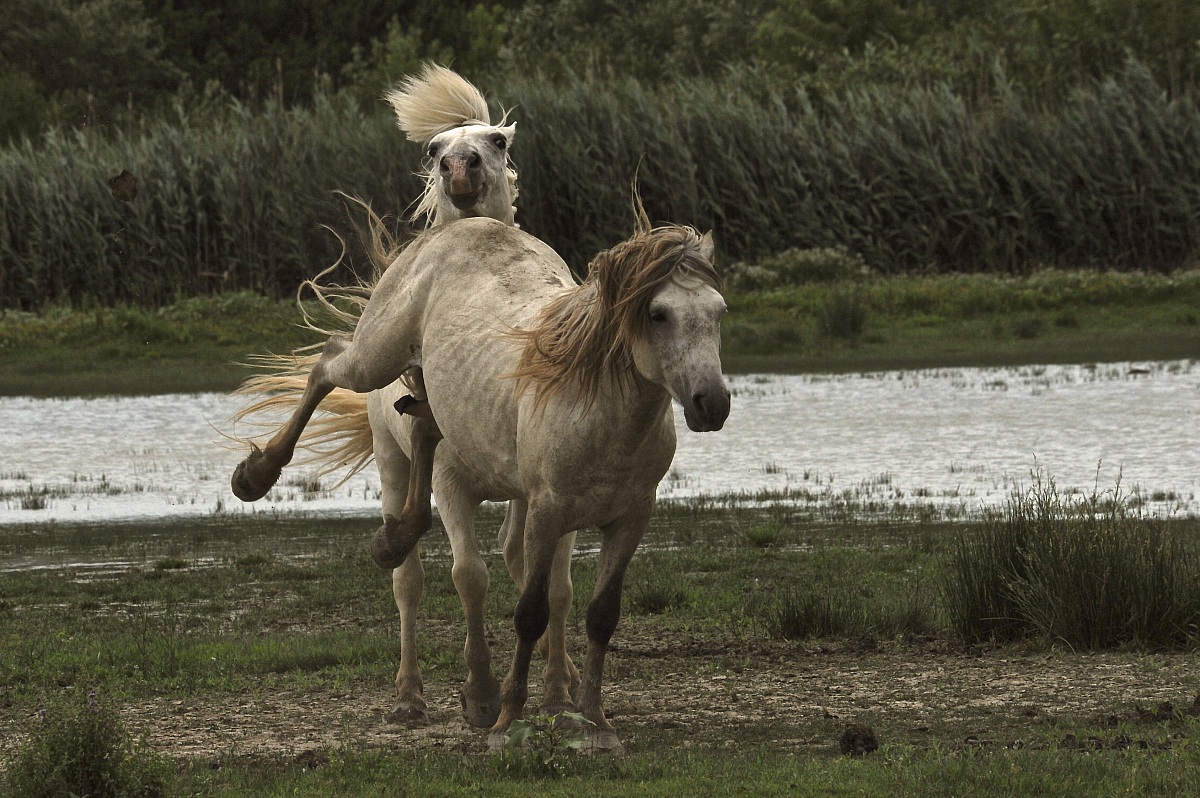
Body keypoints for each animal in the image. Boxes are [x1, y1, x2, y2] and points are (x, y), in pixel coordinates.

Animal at [229, 212, 729, 751]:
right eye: (658, 314)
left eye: (719, 312)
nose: (712, 404)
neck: (594, 404)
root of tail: (454, 229)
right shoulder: (545, 513)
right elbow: (525, 610)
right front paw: (503, 719)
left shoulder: (631, 518)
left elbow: (600, 614)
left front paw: (594, 722)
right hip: (377, 363)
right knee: (328, 362)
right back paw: (258, 476)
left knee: (420, 426)